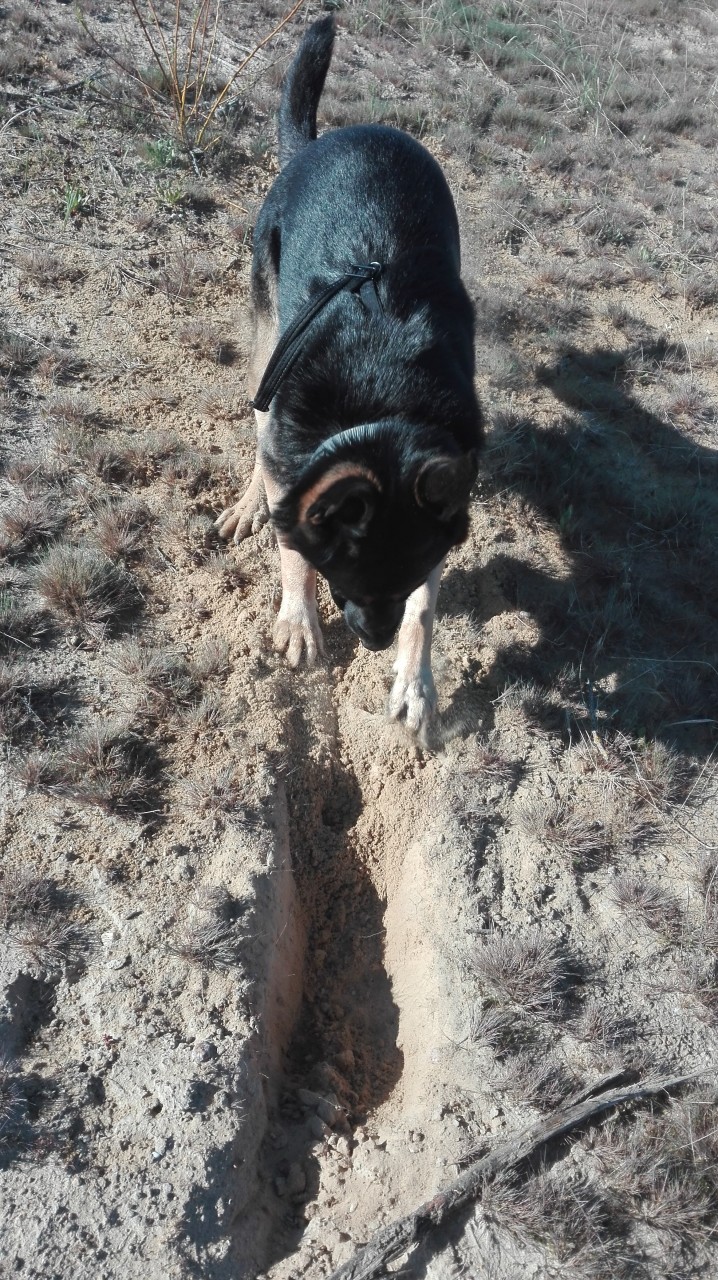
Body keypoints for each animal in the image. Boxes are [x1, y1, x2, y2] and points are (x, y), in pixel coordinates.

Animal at [215, 15, 478, 732]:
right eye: (348, 581)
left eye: (401, 580)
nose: (374, 641)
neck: (381, 399)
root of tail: (331, 136)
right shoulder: (297, 453)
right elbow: (291, 546)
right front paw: (300, 620)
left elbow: (428, 609)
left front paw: (416, 682)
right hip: (268, 331)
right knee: (257, 429)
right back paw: (249, 502)